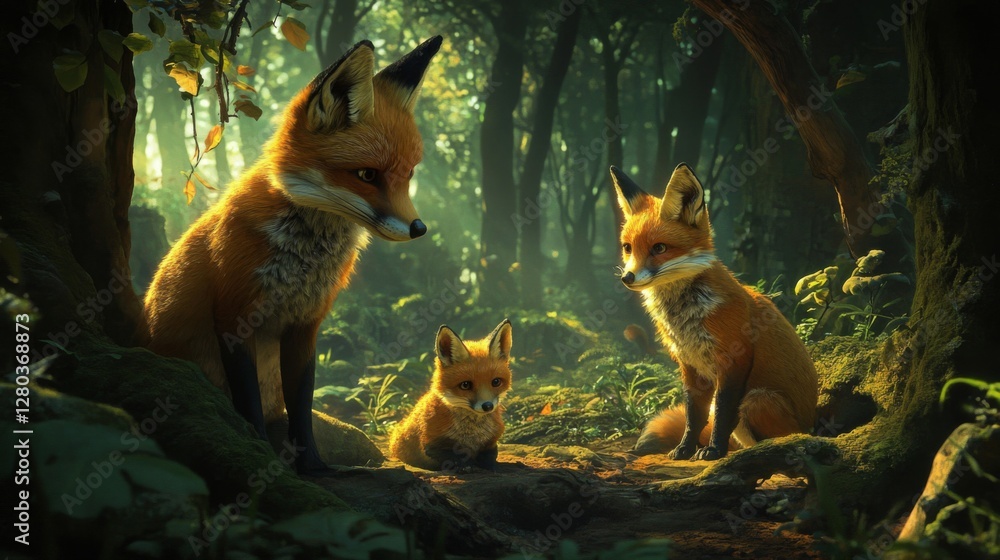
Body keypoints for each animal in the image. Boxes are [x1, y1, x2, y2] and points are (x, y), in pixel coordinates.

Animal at [141, 37, 443, 475]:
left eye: (409, 174)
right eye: (367, 175)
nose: (419, 229)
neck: (303, 261)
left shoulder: (306, 324)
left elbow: (301, 405)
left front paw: (314, 466)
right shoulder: (234, 316)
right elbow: (249, 402)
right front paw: (259, 455)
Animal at [390, 320, 513, 471]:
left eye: (496, 382)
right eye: (465, 385)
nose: (488, 406)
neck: (472, 433)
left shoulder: (491, 441)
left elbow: (490, 457)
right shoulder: (432, 443)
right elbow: (452, 457)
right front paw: (466, 466)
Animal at [610, 164, 818, 461]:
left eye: (659, 248)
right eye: (628, 248)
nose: (627, 277)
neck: (686, 319)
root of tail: (815, 425)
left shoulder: (733, 360)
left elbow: (721, 411)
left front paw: (714, 450)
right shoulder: (690, 365)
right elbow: (693, 415)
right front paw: (685, 449)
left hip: (757, 400)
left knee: (779, 434)